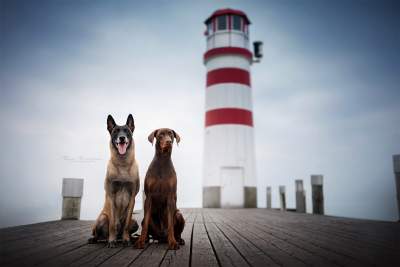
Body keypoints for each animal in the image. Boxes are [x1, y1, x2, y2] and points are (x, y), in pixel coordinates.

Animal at [88, 115, 140, 249]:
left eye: (126, 131)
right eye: (116, 131)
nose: (122, 138)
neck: (122, 164)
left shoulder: (132, 198)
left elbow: (126, 225)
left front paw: (127, 239)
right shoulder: (111, 195)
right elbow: (112, 224)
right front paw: (112, 241)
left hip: (135, 222)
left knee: (123, 230)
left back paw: (127, 238)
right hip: (102, 218)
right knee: (99, 235)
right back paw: (101, 239)